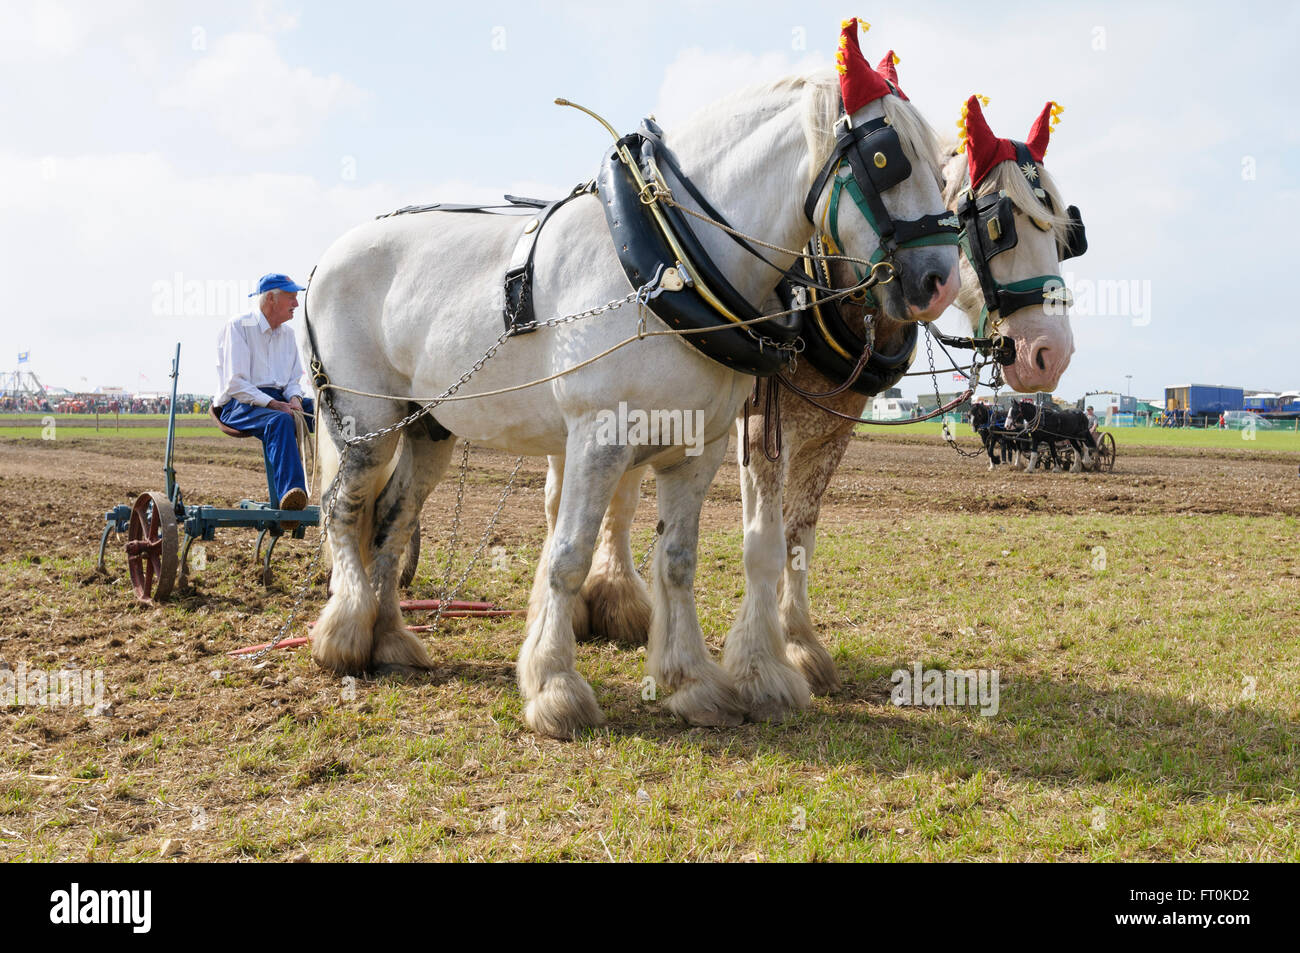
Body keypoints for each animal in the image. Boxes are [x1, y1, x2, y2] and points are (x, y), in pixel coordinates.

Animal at [301, 20, 956, 738]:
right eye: (888, 159)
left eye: (940, 163)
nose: (941, 280)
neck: (671, 261)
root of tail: (326, 258)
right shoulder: (597, 437)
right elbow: (567, 556)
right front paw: (555, 687)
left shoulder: (699, 448)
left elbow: (678, 561)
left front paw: (692, 681)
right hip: (366, 421)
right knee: (345, 508)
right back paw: (344, 636)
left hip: (430, 428)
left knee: (393, 520)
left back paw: (391, 640)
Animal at [564, 92, 1081, 712]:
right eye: (999, 224)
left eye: (1067, 235)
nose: (1051, 354)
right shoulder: (762, 427)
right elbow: (761, 542)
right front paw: (759, 666)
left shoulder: (833, 434)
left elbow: (798, 538)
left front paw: (801, 646)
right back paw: (605, 602)